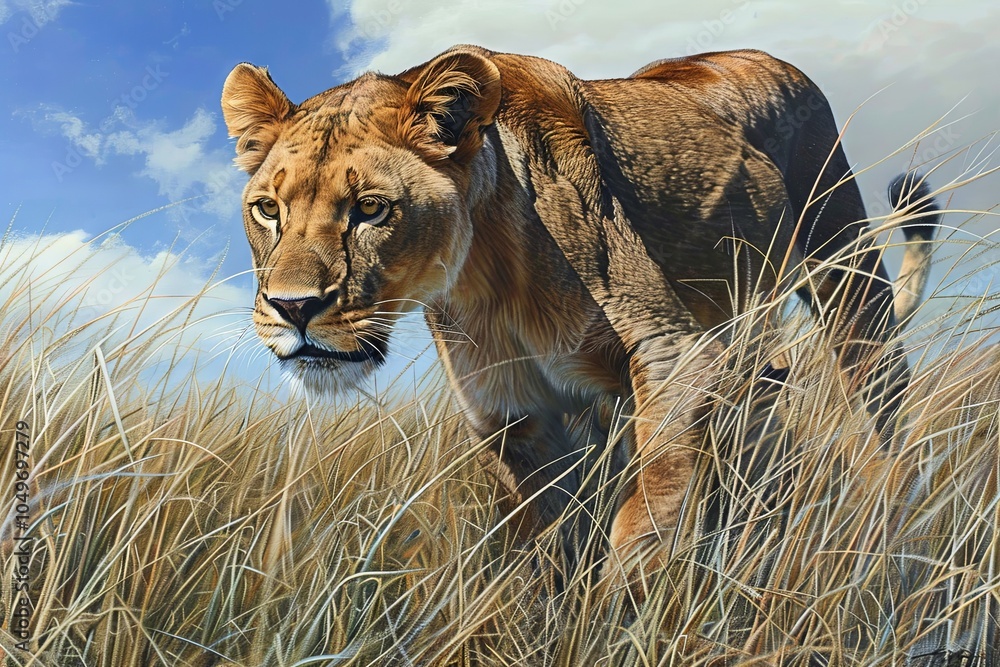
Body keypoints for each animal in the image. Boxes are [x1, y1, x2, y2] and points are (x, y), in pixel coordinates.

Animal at [221, 45, 939, 577]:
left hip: (843, 259)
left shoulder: (676, 355)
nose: (293, 307)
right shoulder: (513, 417)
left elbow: (646, 517)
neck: (484, 277)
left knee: (884, 404)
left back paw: (892, 537)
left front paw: (628, 613)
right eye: (268, 210)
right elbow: (552, 546)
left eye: (371, 208)